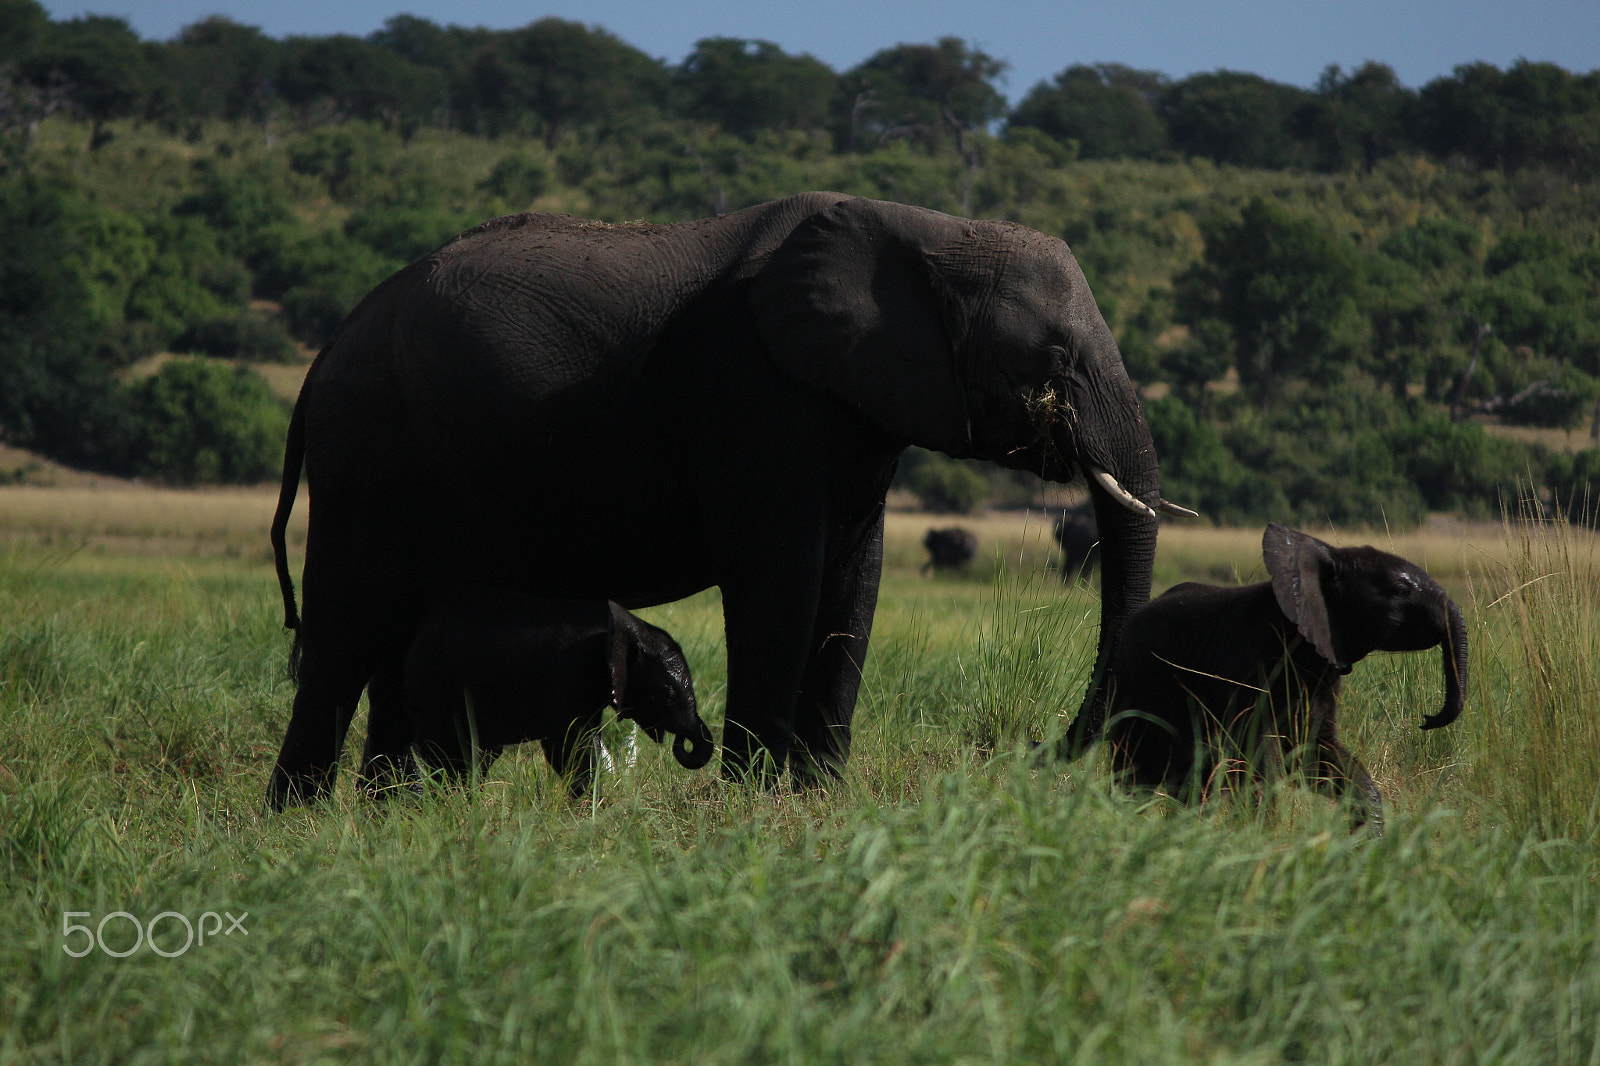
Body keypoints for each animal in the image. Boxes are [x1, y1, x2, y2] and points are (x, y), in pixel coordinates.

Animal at [1104, 524, 1469, 835]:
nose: (1426, 718)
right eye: (1401, 590)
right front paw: (1263, 838)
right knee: (1137, 769)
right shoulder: (1253, 666)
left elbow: (1315, 752)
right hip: (1132, 688)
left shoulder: (1320, 673)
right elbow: (1259, 758)